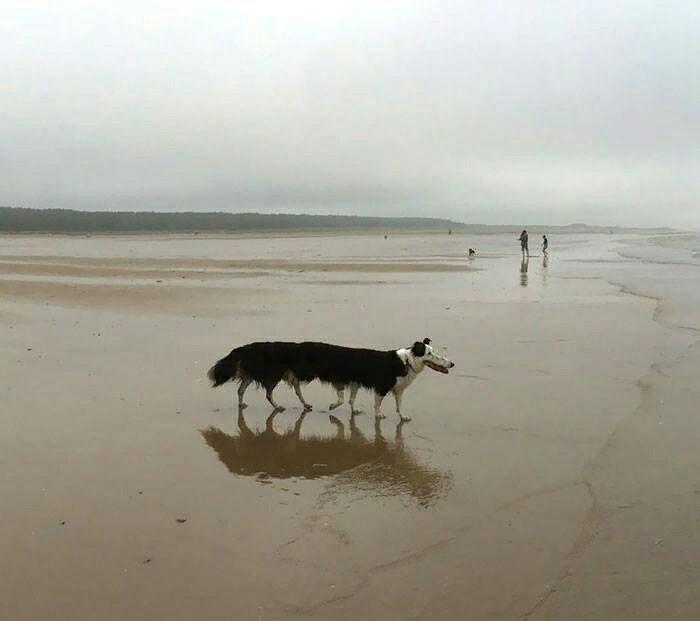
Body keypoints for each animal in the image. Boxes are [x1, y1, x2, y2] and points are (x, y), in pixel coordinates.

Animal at [208, 340, 456, 422]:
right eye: (430, 353)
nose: (452, 364)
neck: (405, 362)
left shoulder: (389, 388)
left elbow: (396, 404)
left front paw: (402, 417)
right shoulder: (378, 386)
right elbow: (369, 402)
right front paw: (377, 415)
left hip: (282, 375)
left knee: (244, 387)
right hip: (274, 375)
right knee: (266, 392)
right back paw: (278, 406)